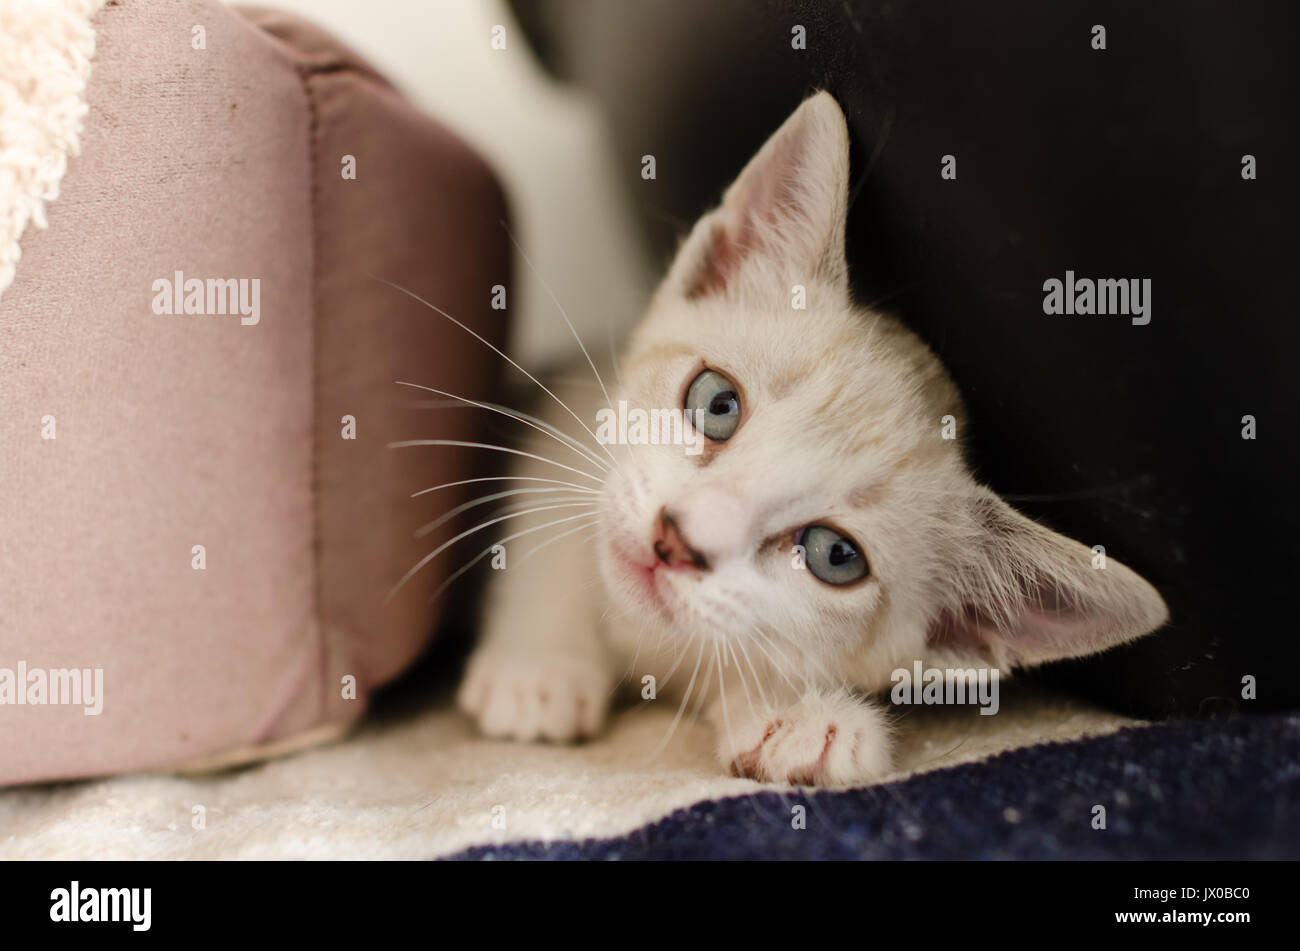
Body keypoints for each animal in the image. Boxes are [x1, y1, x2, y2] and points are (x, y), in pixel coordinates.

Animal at [454, 90, 1170, 789]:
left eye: (834, 555)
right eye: (717, 403)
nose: (674, 540)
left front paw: (795, 717)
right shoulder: (570, 413)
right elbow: (550, 534)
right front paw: (539, 666)